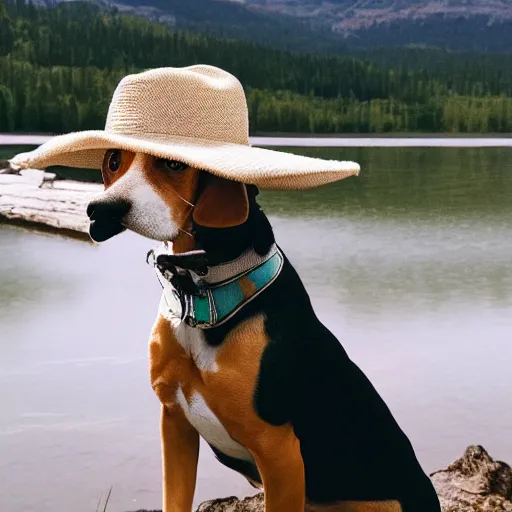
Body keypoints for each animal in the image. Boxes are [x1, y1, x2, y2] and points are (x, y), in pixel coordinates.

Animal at [85, 149, 440, 512]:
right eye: (113, 160)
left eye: (174, 164)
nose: (100, 209)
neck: (203, 297)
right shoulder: (175, 423)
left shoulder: (278, 450)